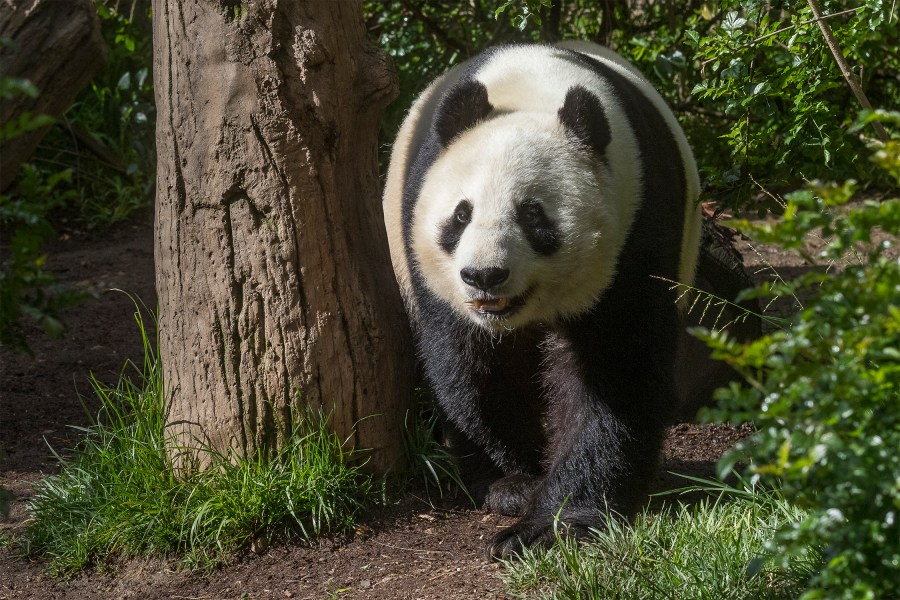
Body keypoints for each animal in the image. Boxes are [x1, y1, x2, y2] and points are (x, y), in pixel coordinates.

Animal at [380, 43, 704, 564]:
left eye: (533, 216)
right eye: (461, 214)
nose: (484, 276)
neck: (532, 86)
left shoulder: (638, 222)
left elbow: (614, 370)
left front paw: (551, 524)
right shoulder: (425, 253)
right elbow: (471, 364)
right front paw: (512, 485)